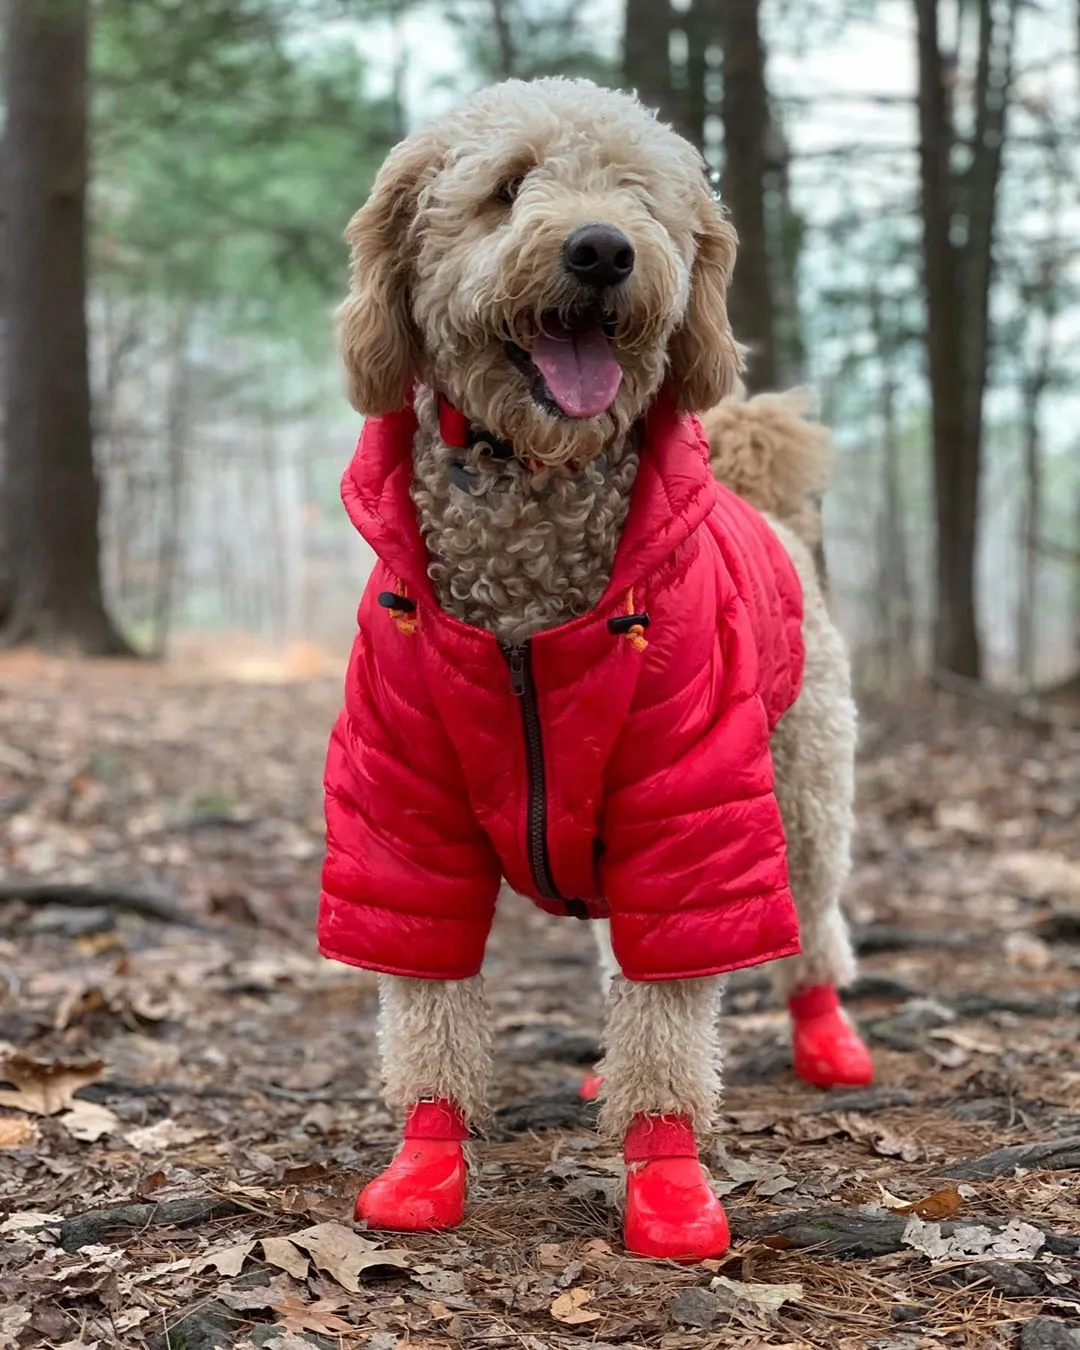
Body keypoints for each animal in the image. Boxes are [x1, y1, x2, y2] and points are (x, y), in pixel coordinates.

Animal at [315, 73, 874, 1258]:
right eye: (507, 186)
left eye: (640, 196)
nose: (604, 250)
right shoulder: (405, 802)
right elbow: (427, 996)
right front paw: (425, 1162)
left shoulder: (686, 794)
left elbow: (672, 1019)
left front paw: (666, 1178)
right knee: (632, 956)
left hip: (802, 788)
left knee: (806, 926)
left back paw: (828, 1040)